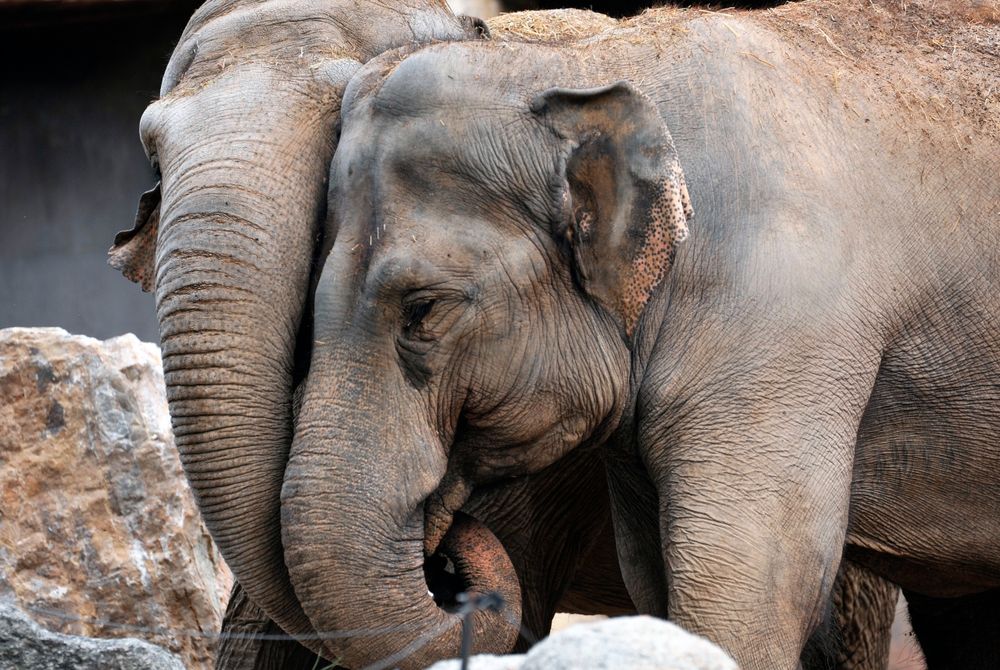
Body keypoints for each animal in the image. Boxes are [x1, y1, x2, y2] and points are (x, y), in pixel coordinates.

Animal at [286, 0, 996, 668]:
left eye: (423, 310)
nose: (449, 562)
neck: (588, 64)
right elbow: (655, 583)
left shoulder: (787, 327)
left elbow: (747, 592)